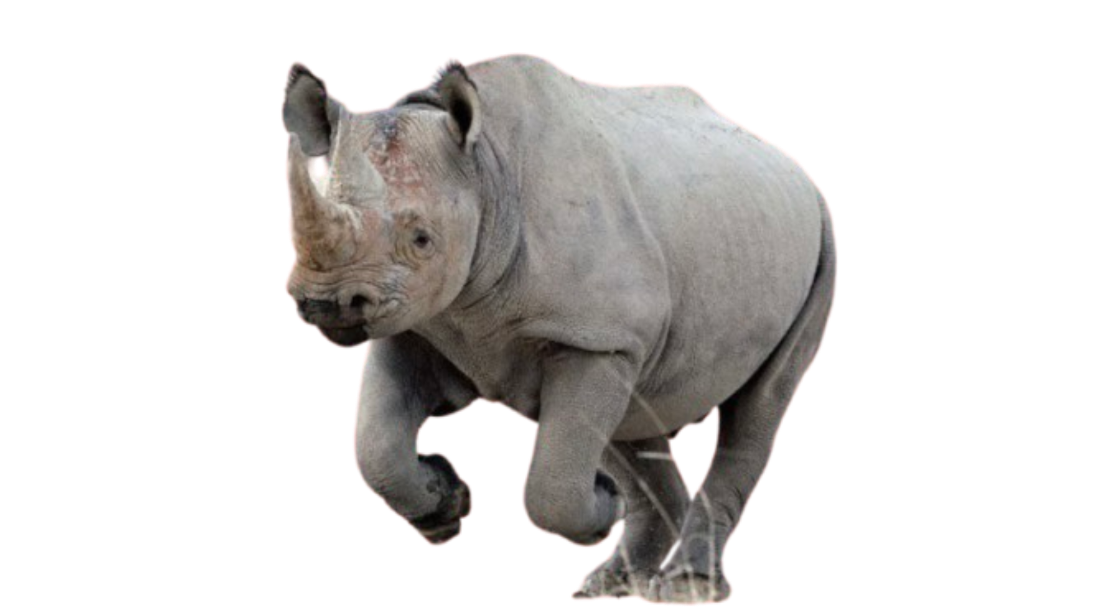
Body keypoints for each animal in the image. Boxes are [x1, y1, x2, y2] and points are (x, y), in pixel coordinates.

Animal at [281, 54, 836, 604]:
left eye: (421, 239)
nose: (326, 302)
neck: (484, 173)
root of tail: (793, 165)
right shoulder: (419, 321)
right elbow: (375, 448)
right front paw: (444, 507)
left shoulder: (595, 336)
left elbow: (550, 488)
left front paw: (602, 504)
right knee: (634, 412)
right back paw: (619, 582)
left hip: (818, 244)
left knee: (760, 404)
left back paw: (685, 586)